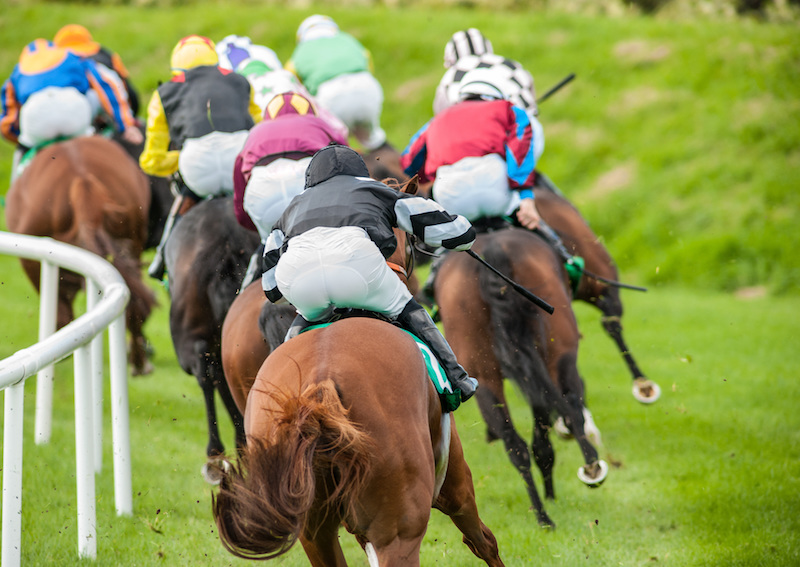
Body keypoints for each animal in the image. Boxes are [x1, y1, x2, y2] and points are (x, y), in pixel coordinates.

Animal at [5, 136, 156, 378]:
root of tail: (82, 179)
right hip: (131, 239)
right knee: (136, 305)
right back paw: (138, 362)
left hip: (33, 260)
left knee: (63, 317)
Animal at [434, 226, 608, 528]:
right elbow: (548, 432)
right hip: (559, 355)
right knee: (568, 409)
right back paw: (589, 470)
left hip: (484, 378)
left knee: (514, 445)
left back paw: (541, 514)